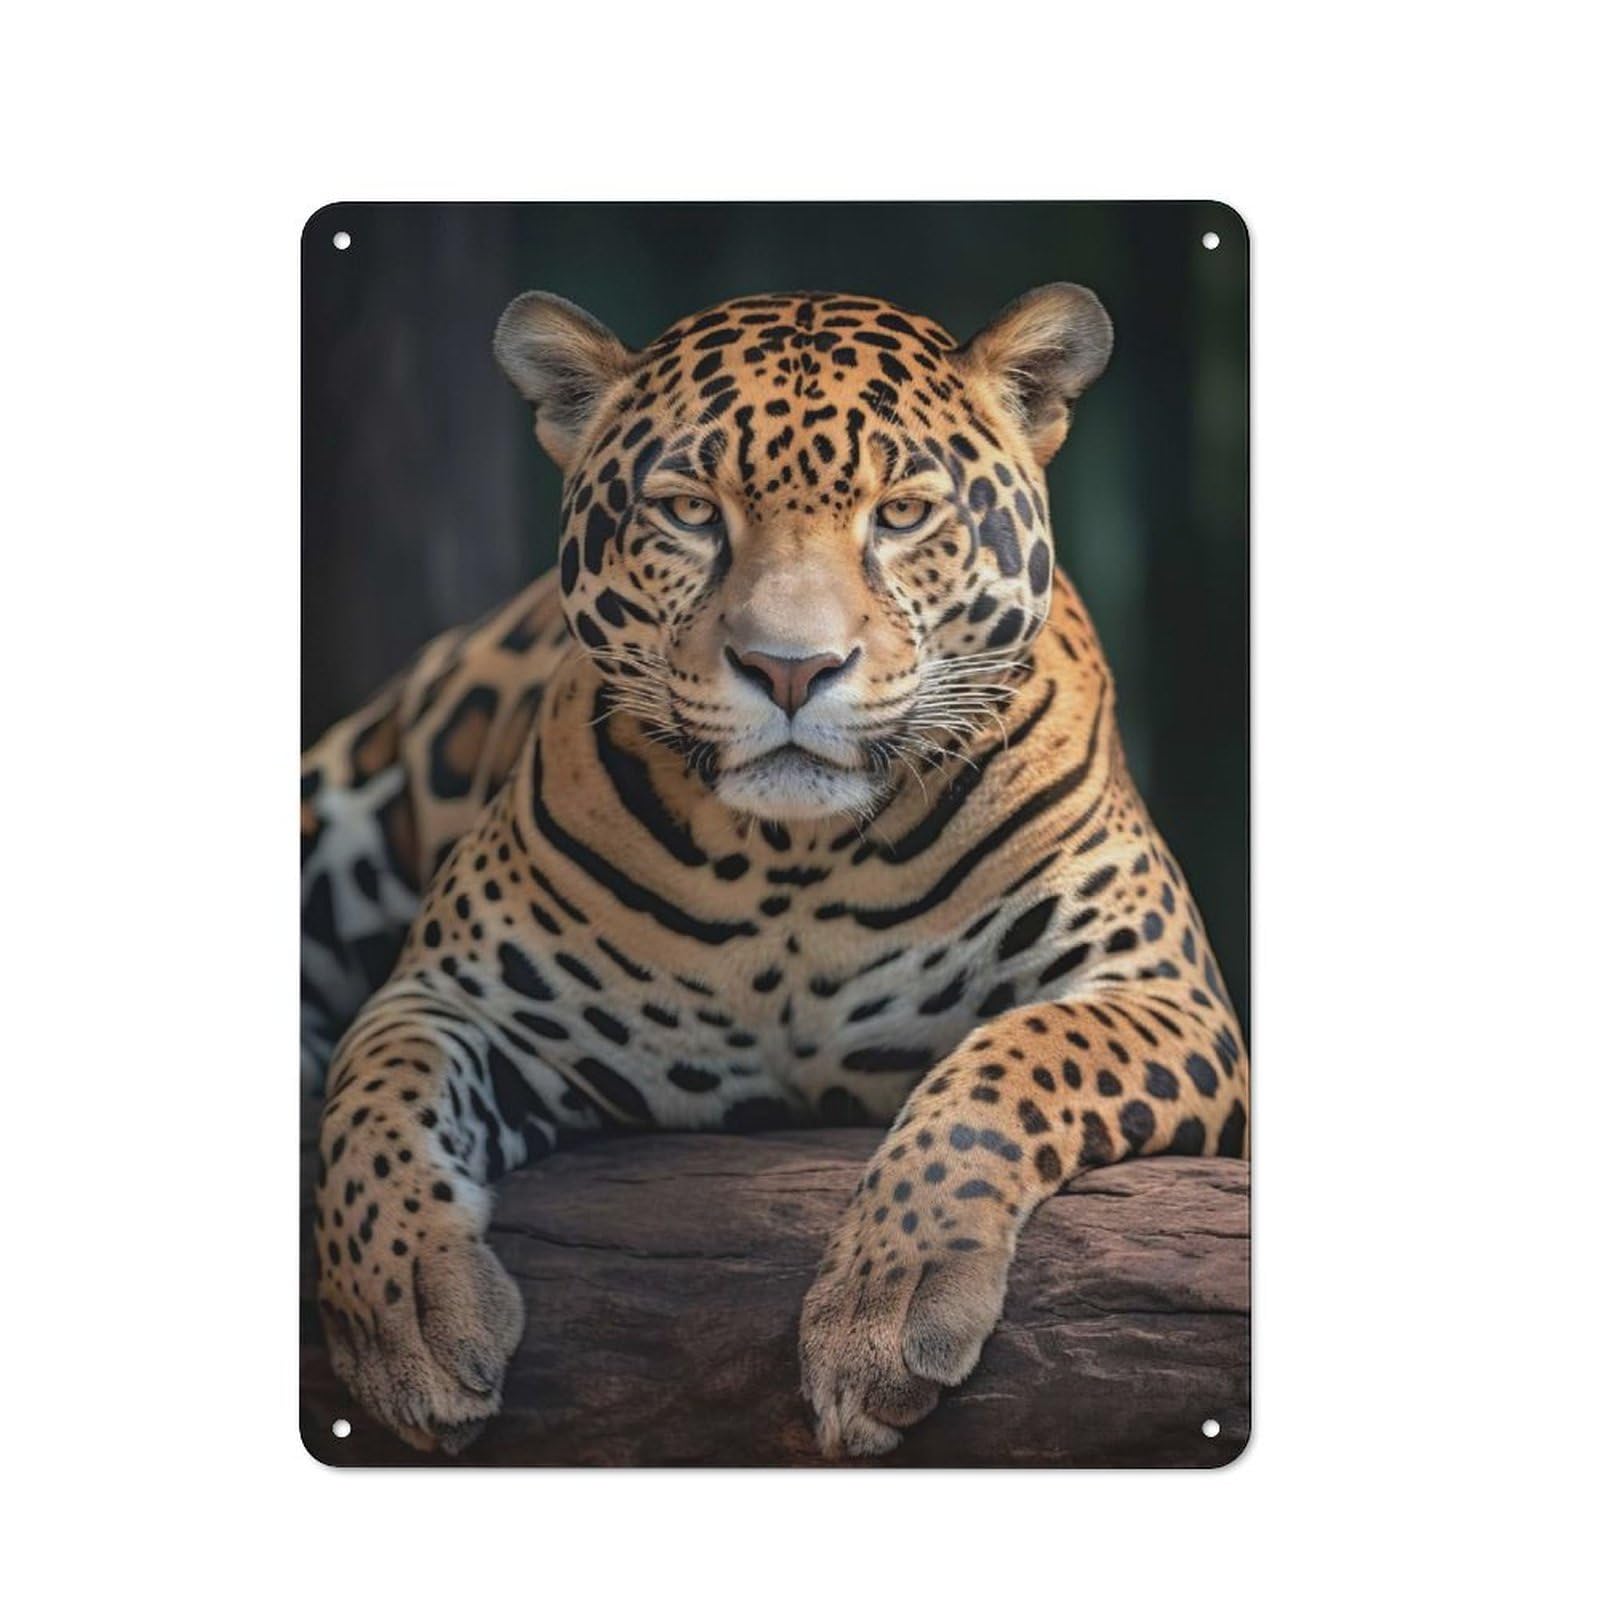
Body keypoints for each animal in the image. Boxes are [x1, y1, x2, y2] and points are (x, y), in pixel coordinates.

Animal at [301, 283, 1249, 1458]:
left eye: (901, 514)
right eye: (690, 511)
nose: (790, 669)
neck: (793, 865)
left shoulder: (1164, 993)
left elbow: (1008, 1061)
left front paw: (890, 1300)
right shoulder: (454, 1000)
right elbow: (372, 1105)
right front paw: (401, 1314)